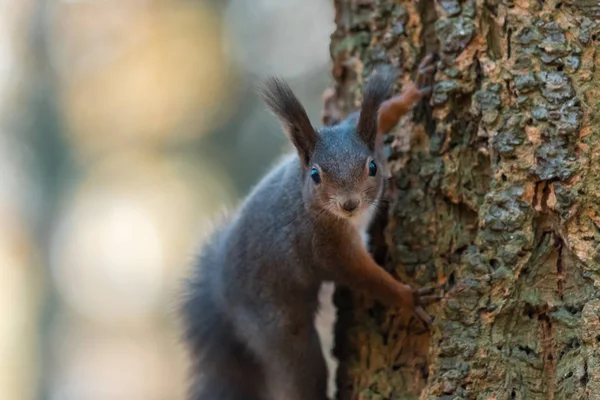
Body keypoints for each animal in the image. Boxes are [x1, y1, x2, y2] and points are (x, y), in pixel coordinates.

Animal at [180, 54, 438, 400]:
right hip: (280, 331)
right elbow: (367, 278)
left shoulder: (352, 129)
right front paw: (409, 298)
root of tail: (223, 298)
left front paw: (410, 93)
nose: (349, 204)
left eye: (372, 167)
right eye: (315, 175)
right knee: (301, 372)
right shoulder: (328, 251)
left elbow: (381, 116)